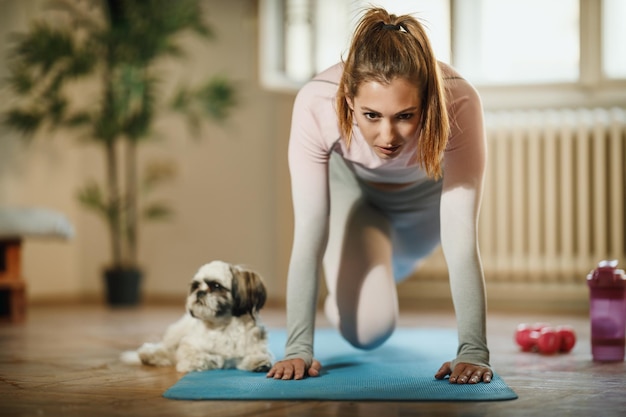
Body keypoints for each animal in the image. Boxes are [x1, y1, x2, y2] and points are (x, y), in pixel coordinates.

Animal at [122, 260, 272, 374]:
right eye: (195, 286)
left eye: (216, 286)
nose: (200, 292)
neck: (224, 327)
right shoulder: (189, 345)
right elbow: (198, 356)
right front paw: (215, 359)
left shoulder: (255, 345)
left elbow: (256, 354)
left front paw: (260, 362)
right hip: (175, 335)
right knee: (165, 349)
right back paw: (149, 355)